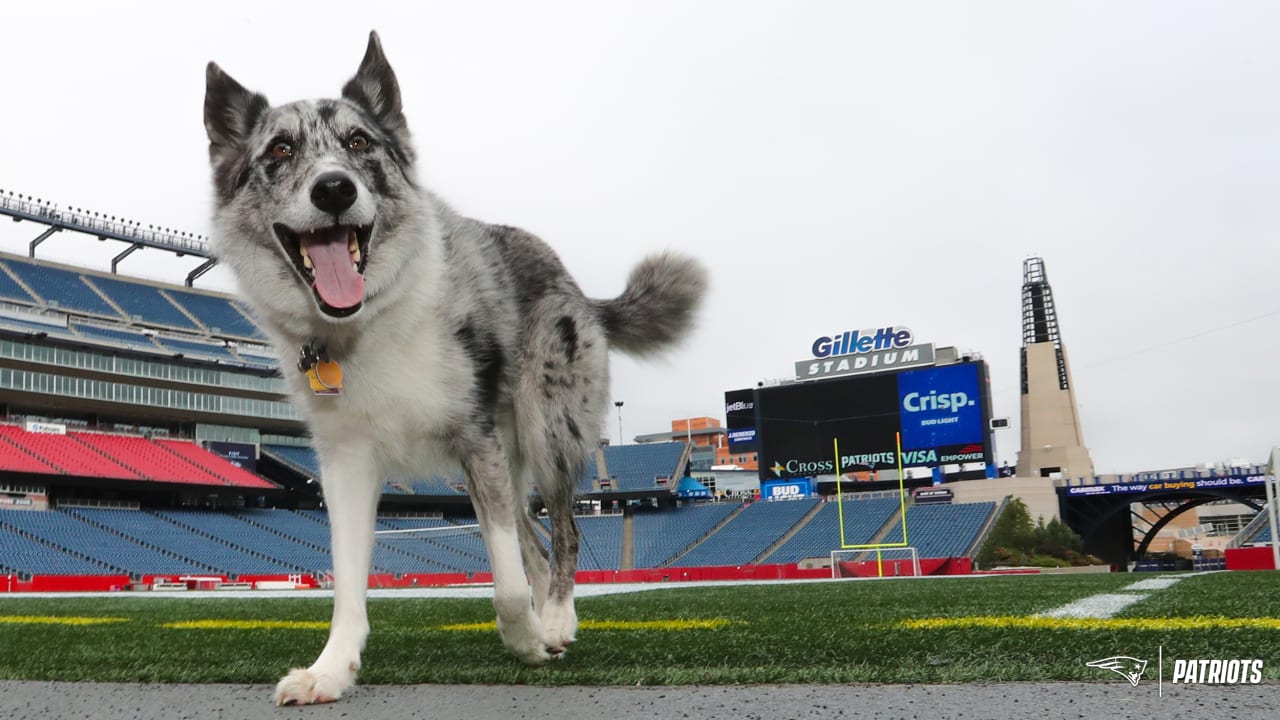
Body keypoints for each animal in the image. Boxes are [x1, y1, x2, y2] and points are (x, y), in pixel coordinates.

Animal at [202, 32, 701, 702]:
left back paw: (556, 621)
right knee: (534, 540)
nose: (333, 189)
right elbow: (348, 583)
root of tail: (578, 288)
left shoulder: (474, 439)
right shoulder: (347, 465)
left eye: (358, 143)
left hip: (548, 433)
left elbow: (508, 580)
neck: (368, 321)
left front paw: (528, 637)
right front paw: (330, 670)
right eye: (280, 149)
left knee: (563, 535)